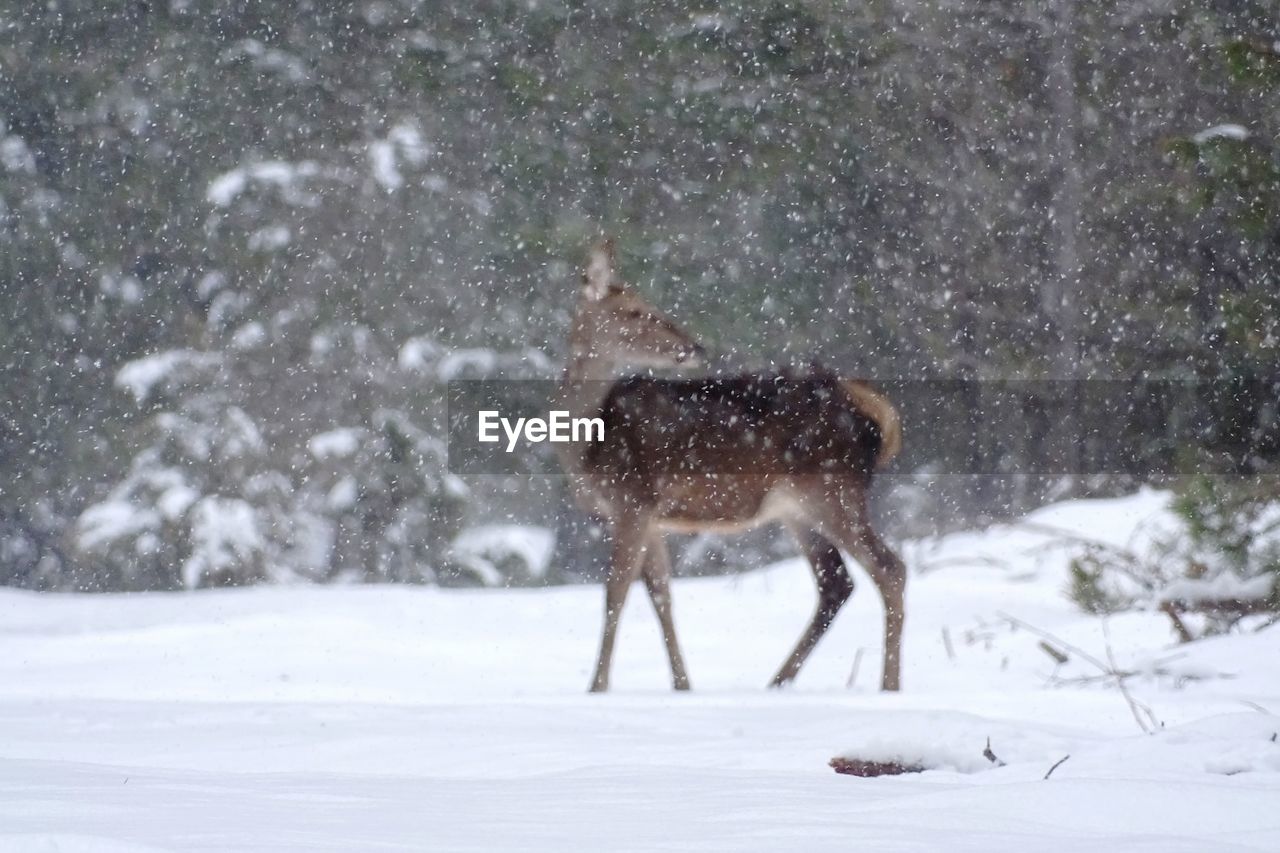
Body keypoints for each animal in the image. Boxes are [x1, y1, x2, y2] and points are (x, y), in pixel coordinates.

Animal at [555, 239, 906, 691]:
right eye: (633, 311)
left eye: (648, 304)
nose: (694, 346)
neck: (586, 443)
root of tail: (875, 409)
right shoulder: (649, 515)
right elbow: (661, 593)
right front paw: (682, 686)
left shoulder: (632, 499)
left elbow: (615, 591)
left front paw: (596, 687)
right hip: (797, 507)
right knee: (836, 582)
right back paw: (777, 682)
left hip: (832, 489)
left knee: (890, 569)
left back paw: (889, 686)